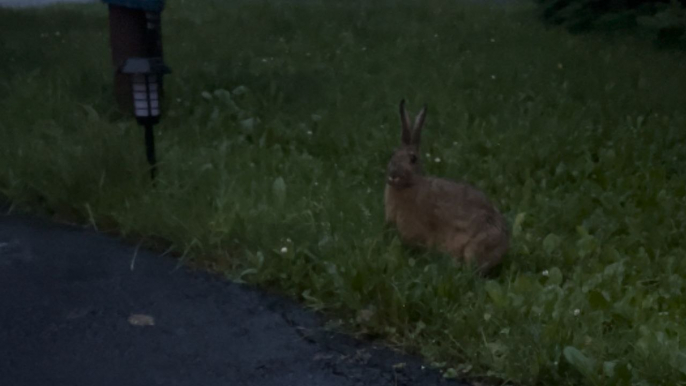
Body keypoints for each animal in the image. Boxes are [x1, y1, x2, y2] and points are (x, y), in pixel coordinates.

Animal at [388, 99, 510, 274]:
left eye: (413, 159)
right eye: (392, 155)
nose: (393, 174)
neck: (410, 185)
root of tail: (503, 247)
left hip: (474, 247)